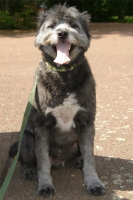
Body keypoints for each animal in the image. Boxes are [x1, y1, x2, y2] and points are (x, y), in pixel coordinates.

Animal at [8, 3, 105, 197]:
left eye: (73, 25)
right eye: (52, 26)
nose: (62, 33)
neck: (64, 74)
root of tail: (60, 160)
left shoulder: (86, 123)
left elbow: (90, 159)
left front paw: (93, 182)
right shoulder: (42, 126)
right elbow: (43, 162)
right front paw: (45, 185)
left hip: (76, 143)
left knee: (79, 155)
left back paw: (77, 161)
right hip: (27, 139)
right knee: (27, 160)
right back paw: (29, 170)